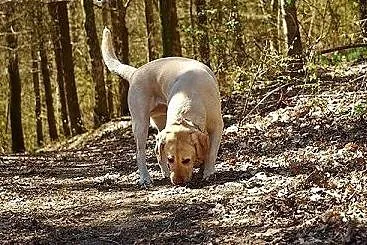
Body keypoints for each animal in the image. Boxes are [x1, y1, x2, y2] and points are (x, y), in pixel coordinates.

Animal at [101, 27, 224, 186]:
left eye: (186, 160)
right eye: (171, 159)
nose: (177, 182)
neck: (190, 98)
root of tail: (135, 73)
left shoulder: (217, 126)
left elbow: (211, 152)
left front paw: (208, 171)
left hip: (160, 122)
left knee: (156, 151)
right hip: (140, 123)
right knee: (141, 153)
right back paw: (146, 178)